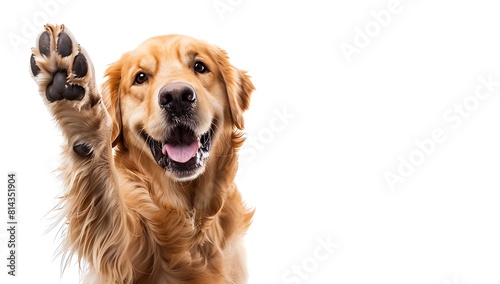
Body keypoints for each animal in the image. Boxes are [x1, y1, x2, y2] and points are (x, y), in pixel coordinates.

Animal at [29, 25, 254, 284]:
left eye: (199, 66)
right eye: (141, 77)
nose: (177, 97)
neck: (190, 216)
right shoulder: (121, 257)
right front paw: (76, 101)